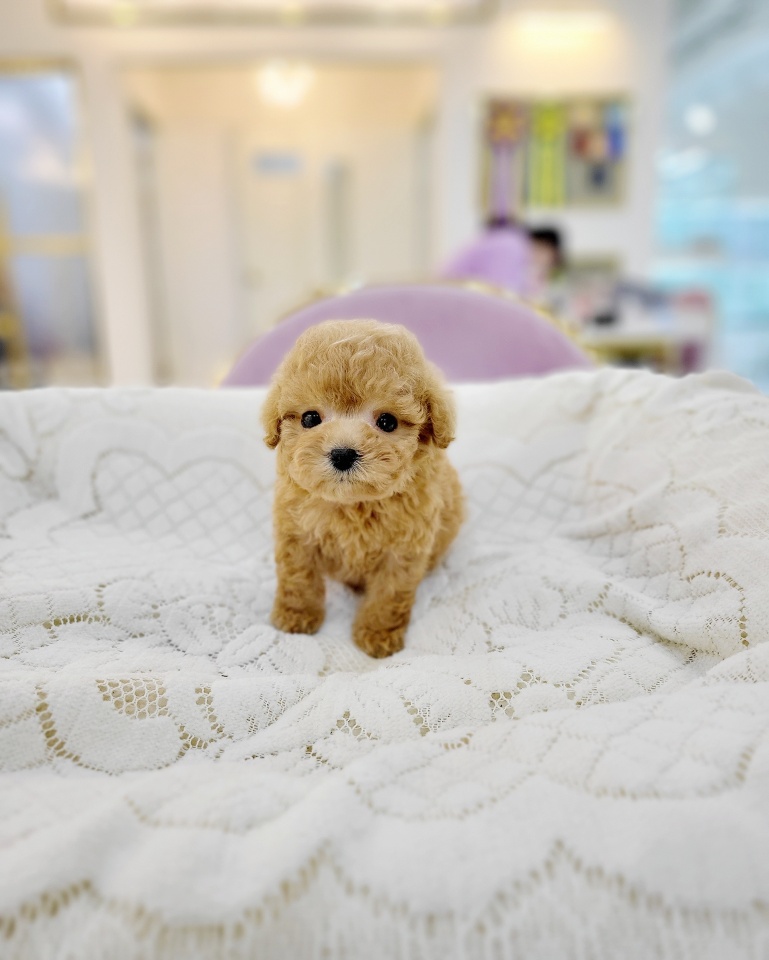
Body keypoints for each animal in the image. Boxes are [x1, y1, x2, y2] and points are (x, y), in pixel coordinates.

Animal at [261, 319, 464, 658]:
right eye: (310, 418)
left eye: (387, 422)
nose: (343, 453)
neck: (353, 504)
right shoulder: (296, 533)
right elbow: (298, 577)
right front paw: (296, 616)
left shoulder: (404, 549)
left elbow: (389, 593)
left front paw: (377, 633)